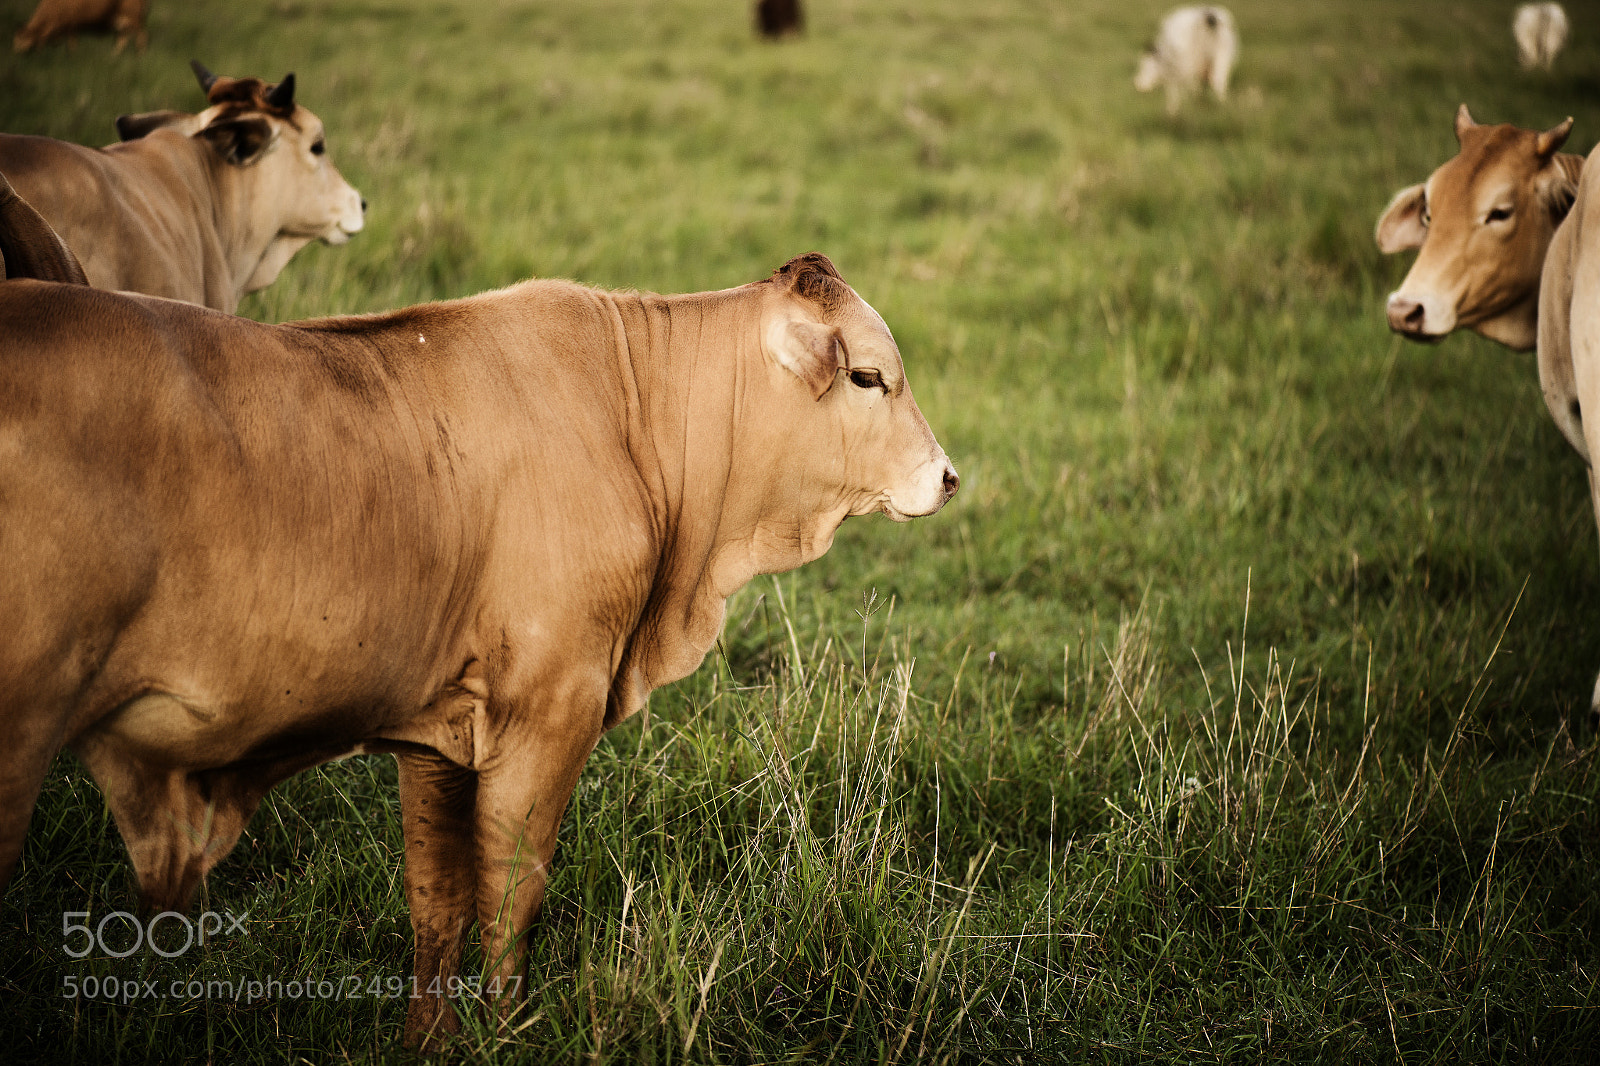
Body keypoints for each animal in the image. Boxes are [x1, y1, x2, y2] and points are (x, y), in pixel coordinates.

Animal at [10, 0, 145, 52]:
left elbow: (72, 41)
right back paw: (114, 55)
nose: (16, 51)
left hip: (132, 16)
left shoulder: (71, 23)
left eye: (22, 41)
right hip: (120, 19)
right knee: (124, 36)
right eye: (15, 41)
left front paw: (71, 53)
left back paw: (140, 52)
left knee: (142, 33)